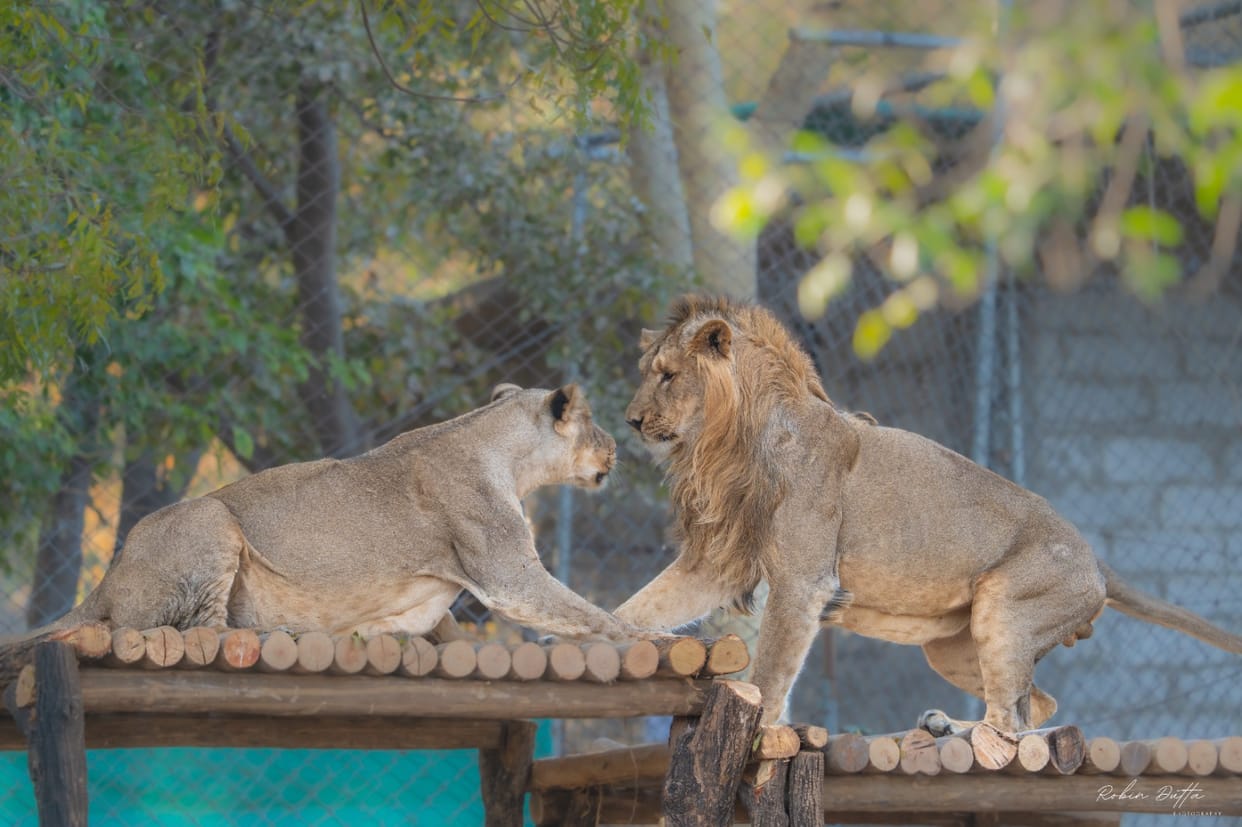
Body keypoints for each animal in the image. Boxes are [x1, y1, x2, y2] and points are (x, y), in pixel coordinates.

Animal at [21, 382, 648, 647]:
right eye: (593, 422)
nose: (618, 445)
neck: (507, 453)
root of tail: (106, 580)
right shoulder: (508, 573)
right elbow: (588, 612)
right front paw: (648, 635)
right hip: (211, 520)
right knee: (201, 628)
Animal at [616, 294, 1242, 733]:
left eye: (667, 375)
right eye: (647, 372)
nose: (631, 421)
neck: (723, 447)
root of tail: (1095, 560)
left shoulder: (803, 582)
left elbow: (770, 673)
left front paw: (761, 734)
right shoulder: (719, 561)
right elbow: (641, 606)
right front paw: (596, 635)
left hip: (1005, 608)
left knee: (1008, 726)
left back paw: (952, 731)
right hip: (950, 646)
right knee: (1036, 705)